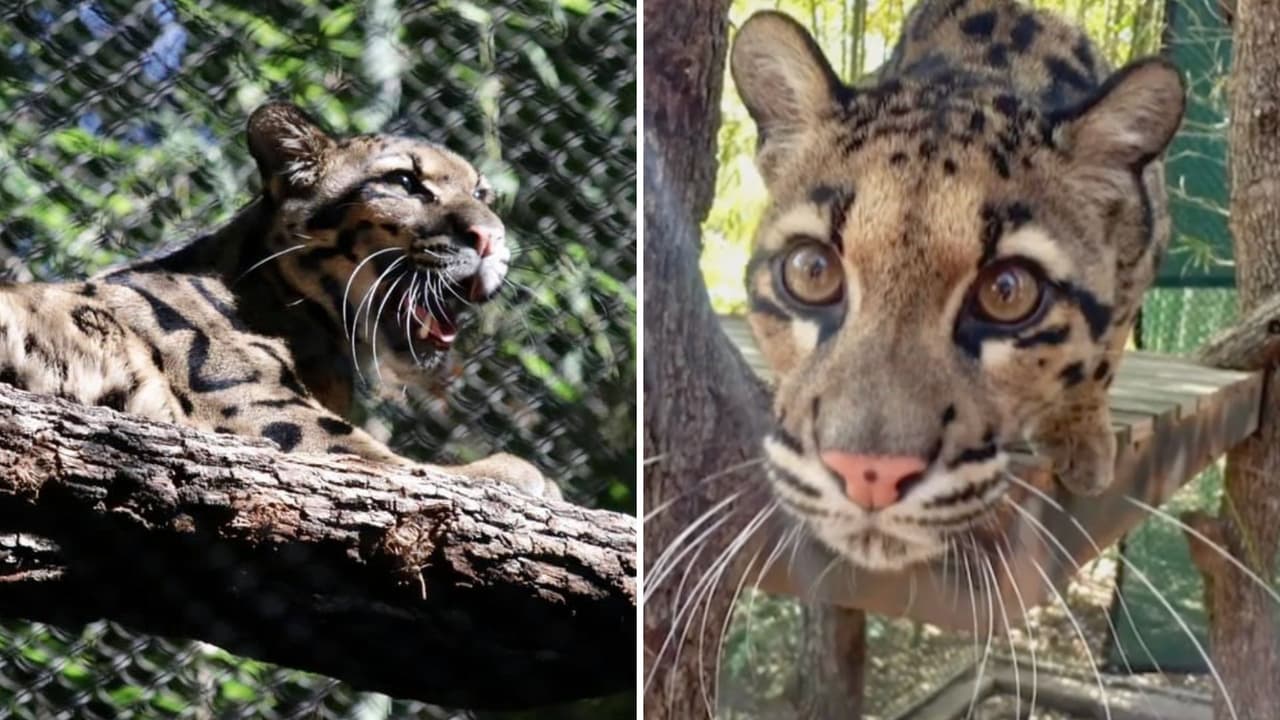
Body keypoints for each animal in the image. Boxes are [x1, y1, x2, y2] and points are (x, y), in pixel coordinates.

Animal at [0, 102, 559, 499]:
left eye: (482, 194)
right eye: (404, 181)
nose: (489, 238)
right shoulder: (278, 421)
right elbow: (407, 469)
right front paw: (522, 473)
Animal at [729, 0, 1185, 570]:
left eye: (1007, 291)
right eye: (812, 271)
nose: (868, 473)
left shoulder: (1147, 240)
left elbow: (1108, 345)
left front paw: (1080, 431)